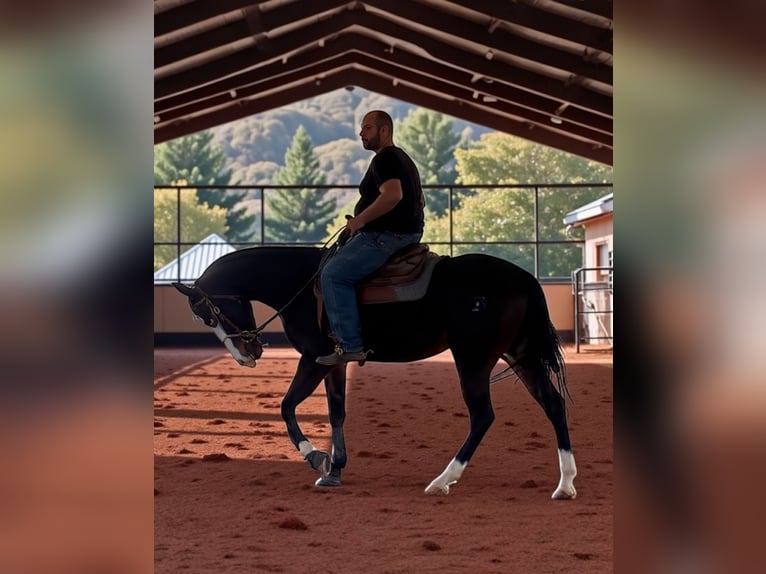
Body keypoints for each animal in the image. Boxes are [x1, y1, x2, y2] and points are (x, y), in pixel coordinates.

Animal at [172, 245, 577, 498]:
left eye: (209, 313)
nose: (247, 355)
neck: (303, 283)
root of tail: (523, 278)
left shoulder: (312, 358)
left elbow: (286, 407)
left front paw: (315, 458)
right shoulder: (333, 362)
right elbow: (336, 412)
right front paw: (334, 470)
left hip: (473, 359)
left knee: (482, 416)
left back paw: (443, 480)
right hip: (519, 355)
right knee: (553, 404)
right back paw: (565, 484)